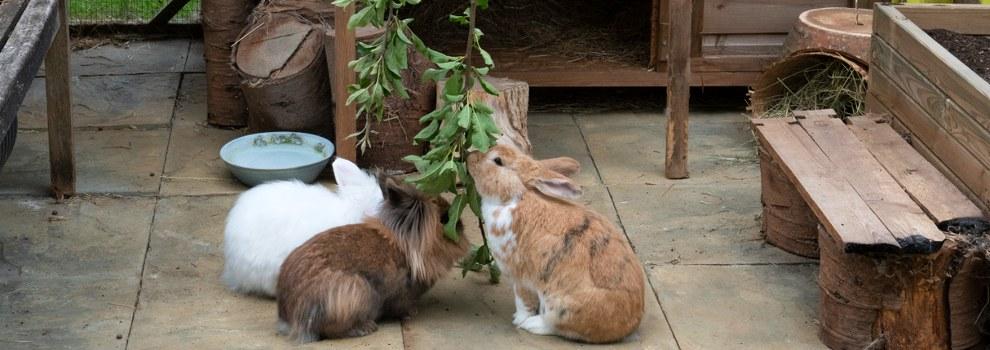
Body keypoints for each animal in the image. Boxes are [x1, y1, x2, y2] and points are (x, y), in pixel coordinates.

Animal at [276, 175, 468, 342]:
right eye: (444, 219)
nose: (461, 227)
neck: (408, 245)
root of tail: (289, 316)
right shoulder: (401, 295)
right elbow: (402, 306)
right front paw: (412, 313)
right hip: (355, 292)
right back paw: (365, 328)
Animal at [468, 144, 648, 344]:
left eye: (498, 161)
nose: (470, 156)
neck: (515, 197)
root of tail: (626, 327)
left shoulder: (519, 276)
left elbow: (523, 301)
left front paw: (518, 319)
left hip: (559, 305)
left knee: (558, 326)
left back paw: (532, 324)